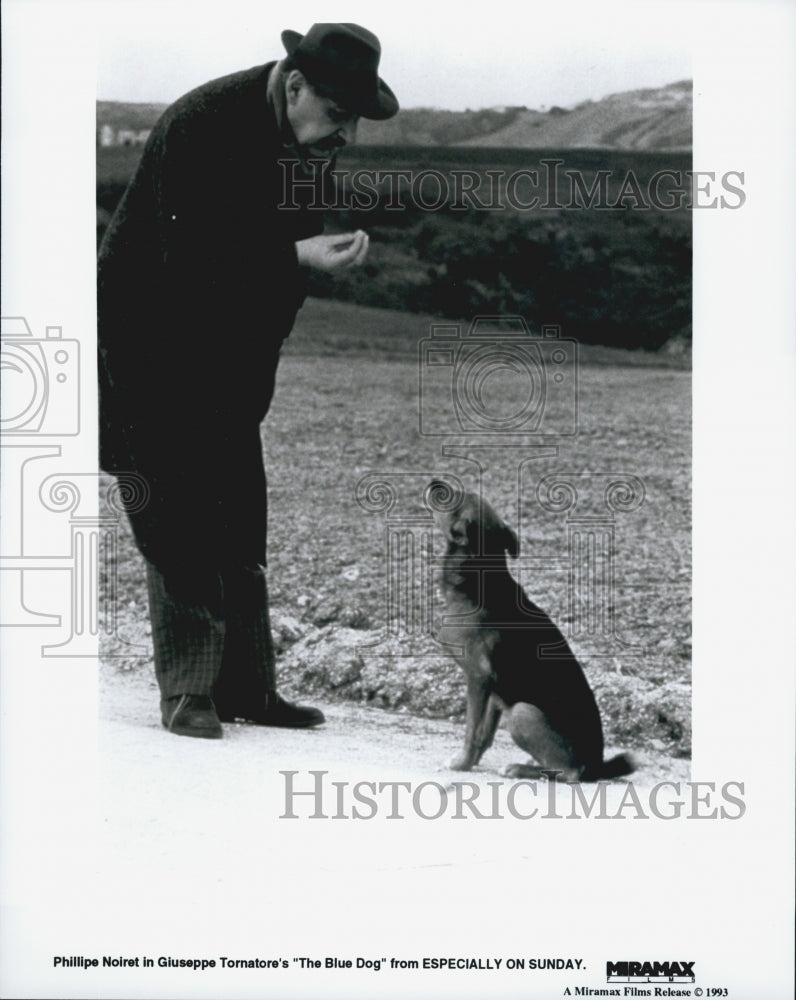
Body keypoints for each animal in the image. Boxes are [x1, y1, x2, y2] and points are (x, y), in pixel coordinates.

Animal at [430, 482, 636, 780]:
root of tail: (596, 766)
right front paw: (471, 762)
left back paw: (520, 768)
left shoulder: (478, 678)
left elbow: (471, 731)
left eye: (451, 498)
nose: (434, 482)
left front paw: (461, 764)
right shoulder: (494, 692)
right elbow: (484, 734)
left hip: (522, 713)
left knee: (569, 773)